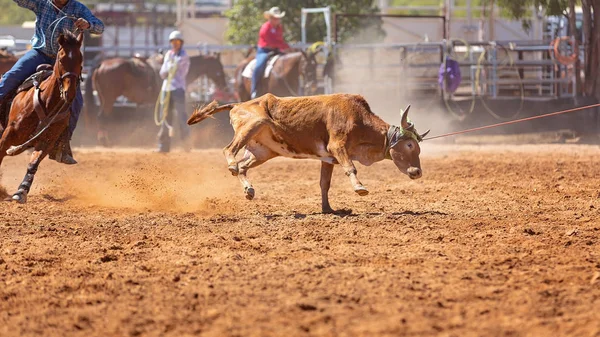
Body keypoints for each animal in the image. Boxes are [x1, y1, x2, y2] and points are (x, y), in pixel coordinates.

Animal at [86, 52, 230, 144]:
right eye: (219, 67)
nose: (224, 86)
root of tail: (101, 64)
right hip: (109, 99)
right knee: (102, 117)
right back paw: (105, 141)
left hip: (103, 98)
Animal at [188, 93, 426, 211]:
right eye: (410, 145)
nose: (417, 172)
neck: (358, 118)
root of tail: (238, 104)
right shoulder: (337, 147)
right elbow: (351, 167)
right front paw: (360, 188)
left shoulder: (328, 159)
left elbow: (324, 183)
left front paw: (328, 209)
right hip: (252, 125)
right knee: (229, 150)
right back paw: (231, 165)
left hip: (262, 151)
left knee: (243, 167)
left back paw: (249, 189)